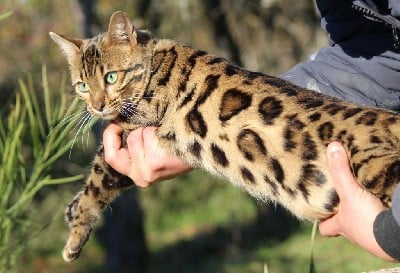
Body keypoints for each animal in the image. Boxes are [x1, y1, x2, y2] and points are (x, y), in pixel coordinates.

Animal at [50, 11, 400, 262]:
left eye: (111, 77)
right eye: (82, 85)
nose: (96, 106)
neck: (154, 57)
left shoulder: (133, 128)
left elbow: (98, 180)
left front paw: (75, 234)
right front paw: (70, 209)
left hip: (375, 170)